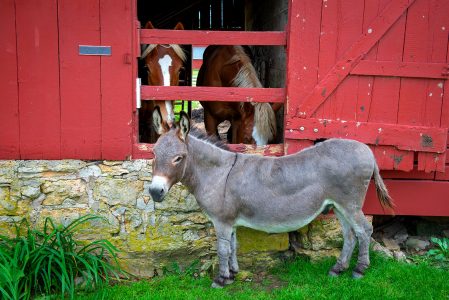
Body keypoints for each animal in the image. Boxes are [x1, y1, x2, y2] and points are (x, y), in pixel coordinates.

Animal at [150, 108, 392, 288]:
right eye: (153, 153)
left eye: (178, 158)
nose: (154, 191)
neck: (218, 173)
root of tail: (368, 151)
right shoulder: (231, 221)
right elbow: (234, 246)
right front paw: (233, 274)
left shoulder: (221, 221)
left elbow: (223, 249)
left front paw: (220, 280)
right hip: (338, 205)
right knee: (350, 234)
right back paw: (338, 268)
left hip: (350, 204)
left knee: (364, 231)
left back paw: (359, 270)